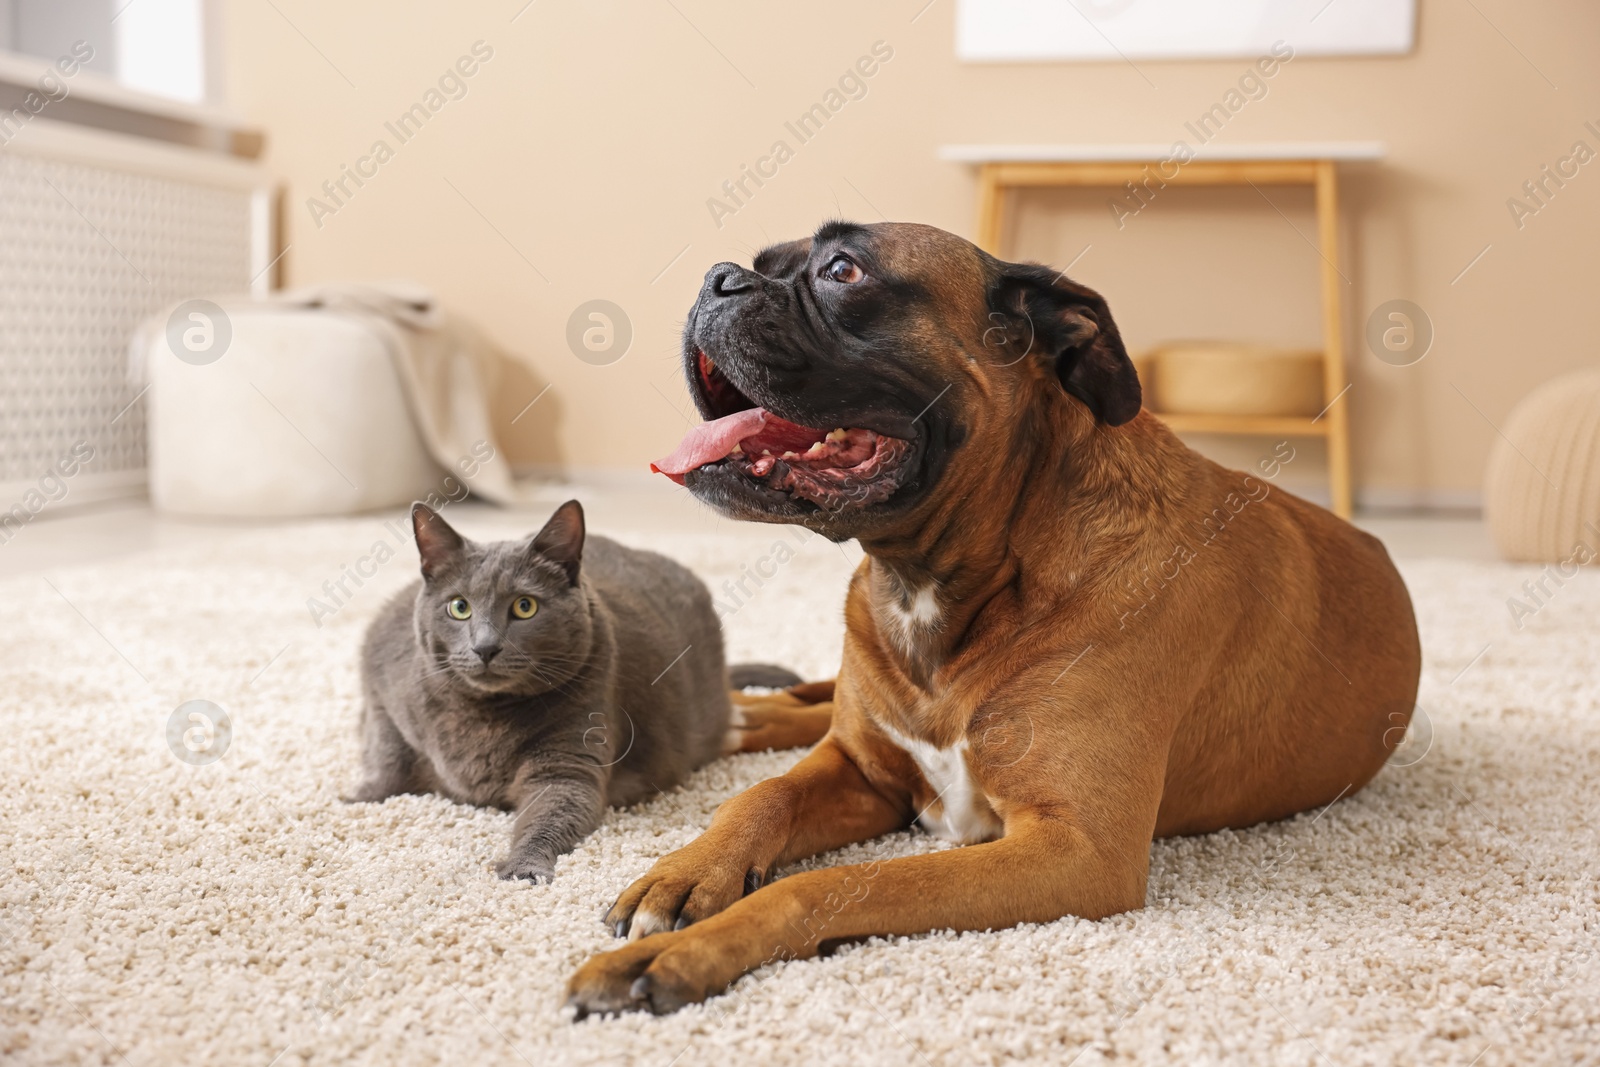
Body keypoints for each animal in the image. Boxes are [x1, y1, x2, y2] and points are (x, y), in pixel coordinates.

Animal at [344, 502, 819, 883]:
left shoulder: (568, 763)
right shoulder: (380, 682)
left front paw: (523, 867)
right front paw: (355, 796)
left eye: (524, 607)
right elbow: (386, 752)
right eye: (459, 607)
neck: (483, 715)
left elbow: (551, 813)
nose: (485, 647)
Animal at [566, 220, 1427, 1017]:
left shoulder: (1073, 848)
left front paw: (680, 952)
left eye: (844, 270)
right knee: (802, 708)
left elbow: (831, 884)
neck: (938, 581)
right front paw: (684, 870)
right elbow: (760, 797)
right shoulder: (861, 769)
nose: (718, 278)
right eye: (763, 262)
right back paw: (743, 715)